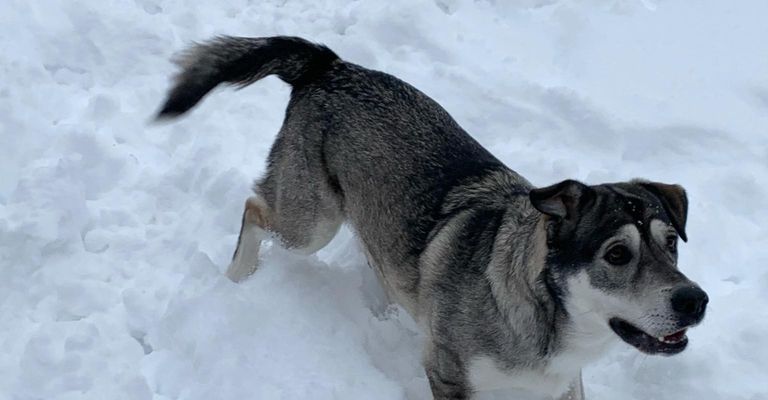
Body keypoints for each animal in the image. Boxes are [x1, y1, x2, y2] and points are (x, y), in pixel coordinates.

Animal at [154, 36, 708, 398]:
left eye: (671, 243)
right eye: (616, 254)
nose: (695, 301)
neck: (548, 320)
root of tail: (331, 64)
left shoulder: (562, 389)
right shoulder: (449, 373)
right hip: (310, 223)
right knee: (254, 209)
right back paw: (236, 278)